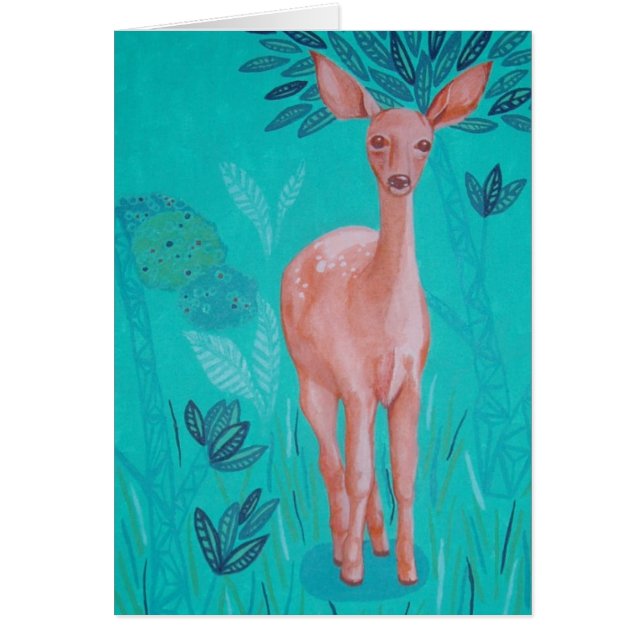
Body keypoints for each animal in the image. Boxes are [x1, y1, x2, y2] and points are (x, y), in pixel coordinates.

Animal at [280, 51, 492, 586]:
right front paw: (353, 572)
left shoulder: (409, 380)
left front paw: (408, 570)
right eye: (377, 139)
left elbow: (405, 473)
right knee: (331, 461)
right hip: (311, 377)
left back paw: (374, 543)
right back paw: (344, 548)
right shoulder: (353, 377)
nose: (400, 180)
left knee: (365, 464)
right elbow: (354, 472)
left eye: (425, 142)